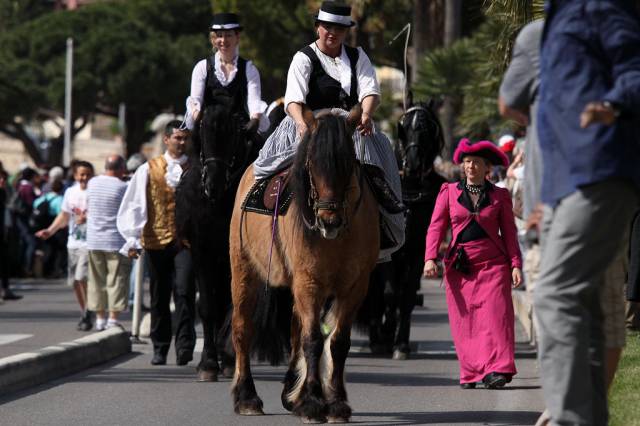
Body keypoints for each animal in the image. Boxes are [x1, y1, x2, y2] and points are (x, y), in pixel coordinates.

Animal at [175, 92, 260, 380]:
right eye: (202, 130)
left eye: (233, 132)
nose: (213, 184)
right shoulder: (202, 251)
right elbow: (208, 307)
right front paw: (208, 363)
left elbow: (233, 303)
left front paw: (228, 359)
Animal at [230, 105, 380, 422]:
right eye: (311, 162)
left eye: (348, 162)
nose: (328, 221)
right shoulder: (309, 281)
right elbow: (312, 340)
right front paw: (312, 402)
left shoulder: (355, 286)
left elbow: (338, 342)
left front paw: (335, 403)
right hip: (243, 269)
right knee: (243, 328)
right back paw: (247, 397)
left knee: (295, 327)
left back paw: (292, 394)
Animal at [358, 100, 448, 360]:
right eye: (403, 127)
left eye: (428, 129)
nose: (413, 165)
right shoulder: (391, 252)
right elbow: (389, 294)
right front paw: (387, 333)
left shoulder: (418, 252)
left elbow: (405, 298)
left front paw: (401, 344)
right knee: (375, 294)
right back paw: (378, 337)